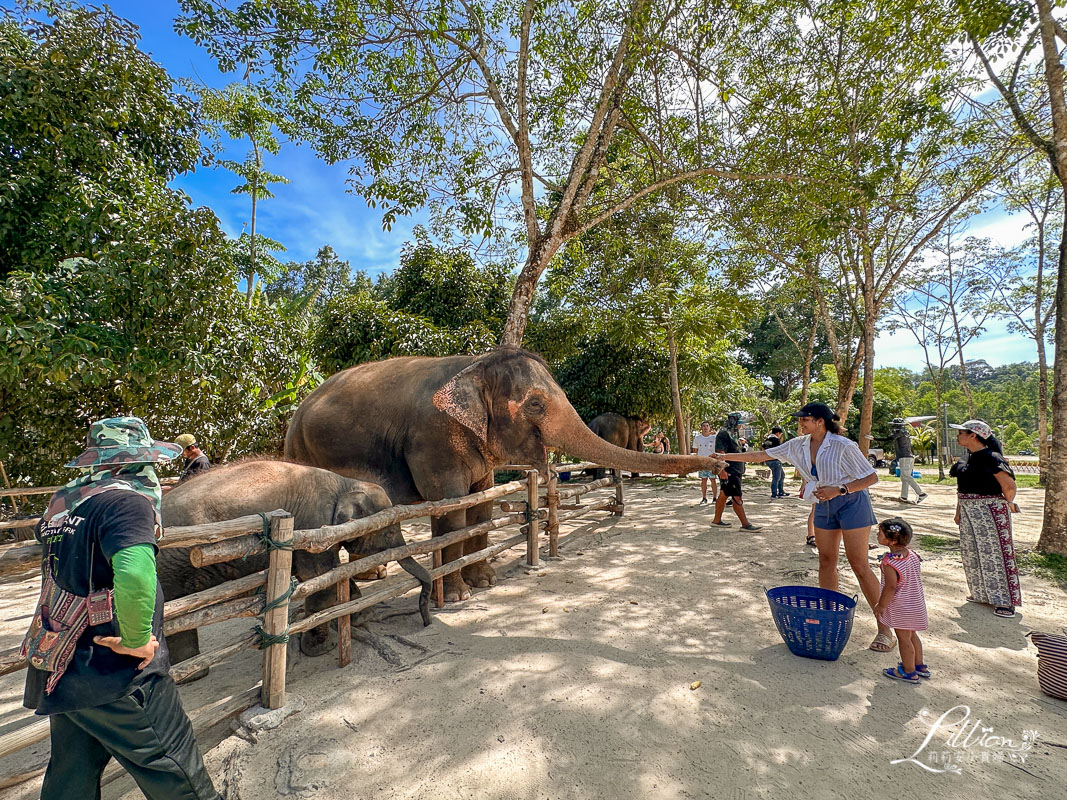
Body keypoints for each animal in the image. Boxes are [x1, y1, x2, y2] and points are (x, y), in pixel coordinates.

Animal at [160, 456, 422, 669]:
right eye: (390, 532)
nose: (425, 617)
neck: (345, 482)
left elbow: (327, 578)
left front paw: (360, 616)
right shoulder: (314, 524)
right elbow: (319, 580)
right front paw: (319, 649)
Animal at [288, 347, 729, 605]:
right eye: (534, 404)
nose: (722, 464)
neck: (473, 366)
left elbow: (481, 504)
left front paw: (486, 581)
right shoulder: (431, 440)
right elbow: (452, 511)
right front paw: (459, 596)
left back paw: (372, 576)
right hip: (304, 452)